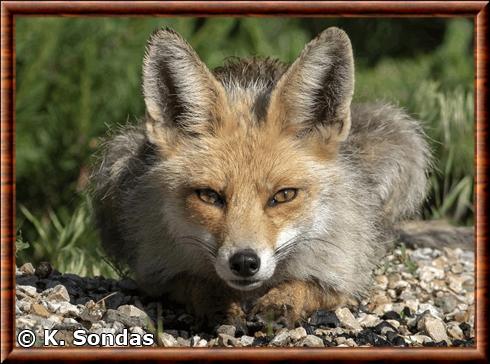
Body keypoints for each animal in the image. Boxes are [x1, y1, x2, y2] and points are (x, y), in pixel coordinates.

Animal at [90, 27, 430, 326]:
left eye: (284, 195)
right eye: (209, 196)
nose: (244, 262)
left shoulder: (345, 273)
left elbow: (309, 286)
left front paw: (283, 301)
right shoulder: (157, 271)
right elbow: (196, 283)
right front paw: (219, 302)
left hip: (399, 140)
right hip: (117, 159)